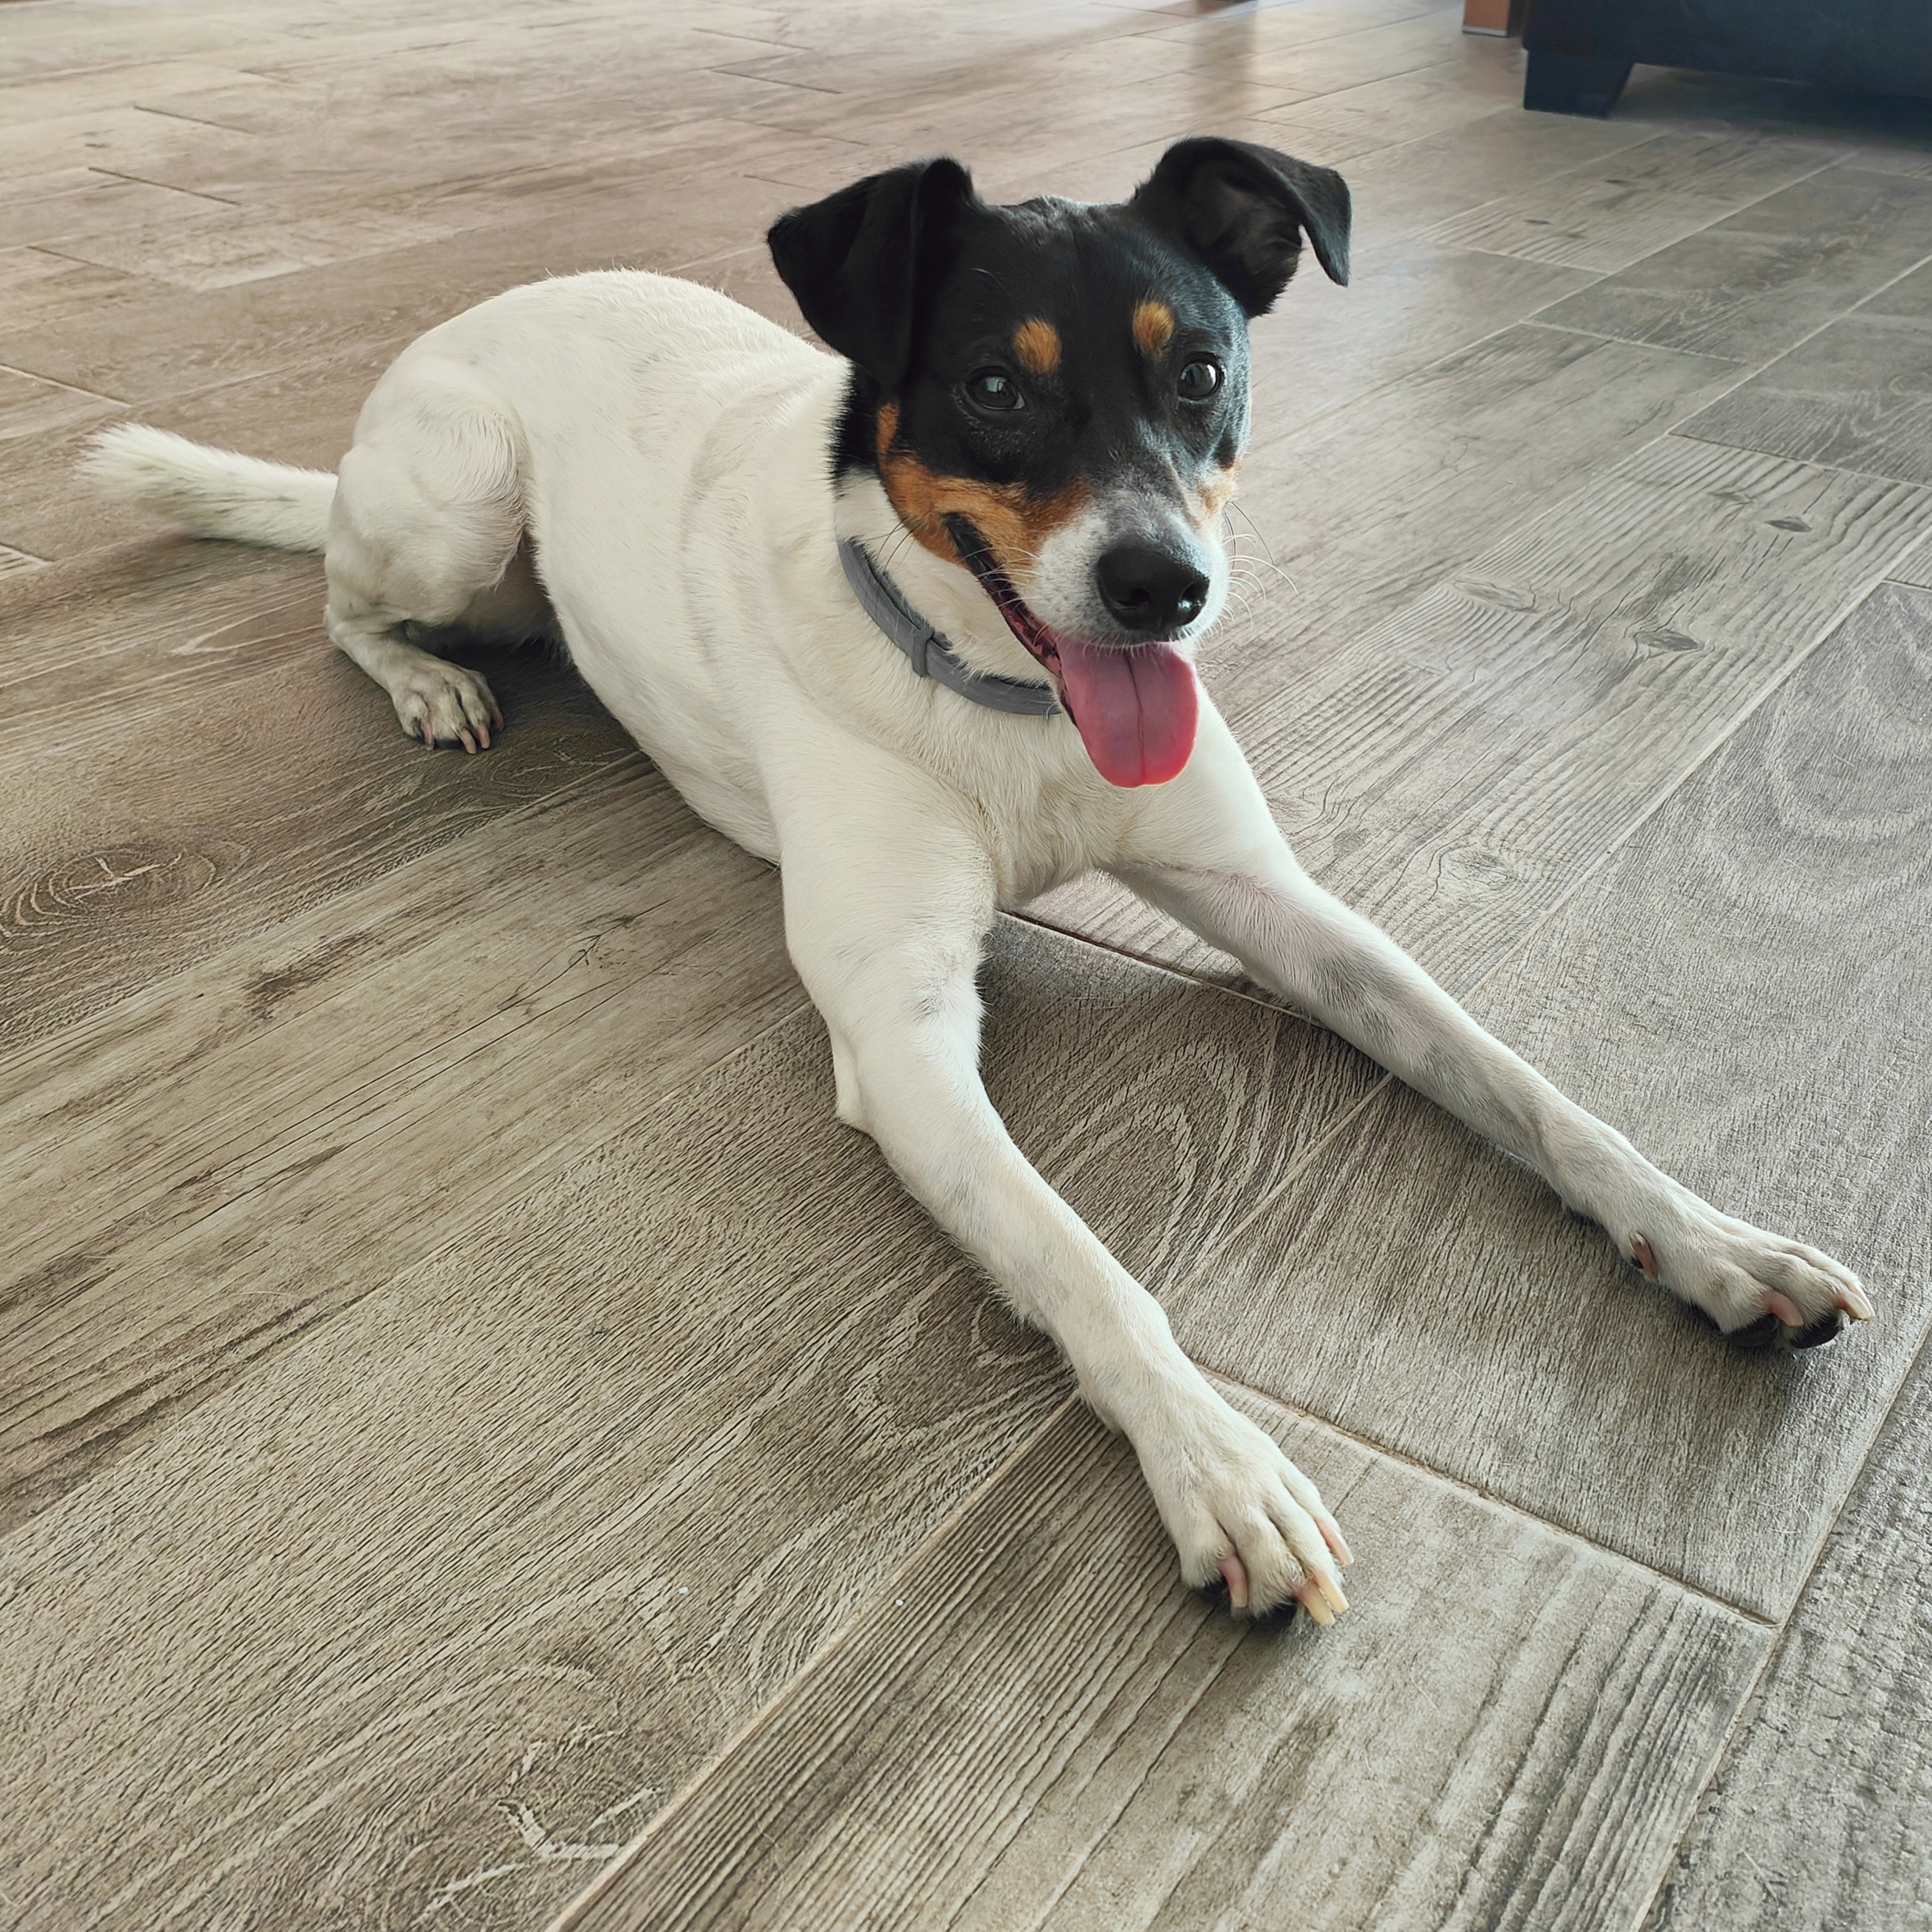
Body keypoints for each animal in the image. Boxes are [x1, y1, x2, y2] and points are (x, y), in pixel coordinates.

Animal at [84, 138, 1872, 1624]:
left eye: (1201, 370)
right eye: (992, 389)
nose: (1165, 588)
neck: (1009, 705)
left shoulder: (1281, 906)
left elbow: (1530, 1091)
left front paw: (1713, 1241)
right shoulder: (903, 1038)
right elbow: (1089, 1268)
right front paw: (1218, 1466)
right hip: (459, 504)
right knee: (340, 605)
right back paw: (427, 681)